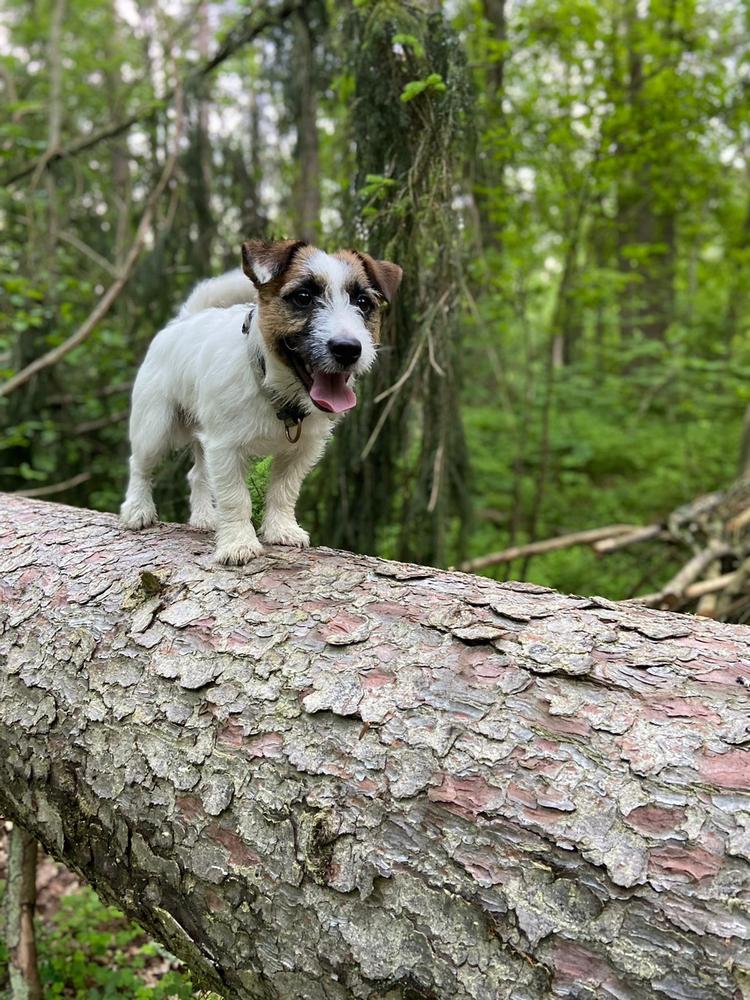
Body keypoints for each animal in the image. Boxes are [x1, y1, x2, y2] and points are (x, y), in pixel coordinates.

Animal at [122, 236, 406, 564]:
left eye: (363, 303)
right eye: (303, 297)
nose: (348, 349)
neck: (275, 389)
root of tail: (184, 320)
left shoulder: (300, 451)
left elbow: (283, 491)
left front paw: (281, 530)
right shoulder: (226, 448)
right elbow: (235, 498)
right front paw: (238, 544)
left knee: (198, 474)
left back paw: (205, 517)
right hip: (154, 428)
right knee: (140, 465)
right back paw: (137, 510)